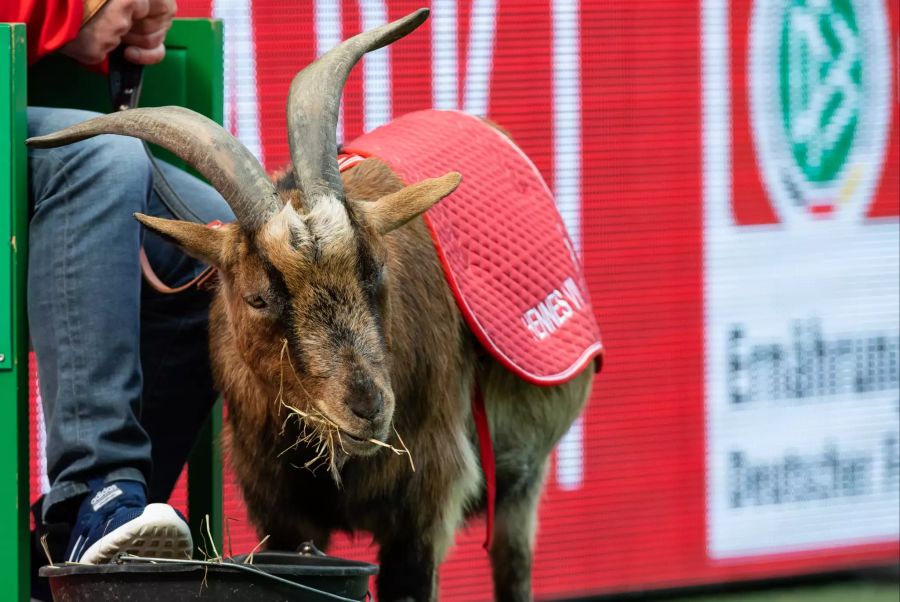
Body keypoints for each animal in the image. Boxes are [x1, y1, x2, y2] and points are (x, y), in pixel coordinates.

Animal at [28, 9, 596, 600]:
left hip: (521, 479)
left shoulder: (425, 503)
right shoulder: (279, 511)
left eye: (376, 268)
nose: (368, 407)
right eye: (257, 297)